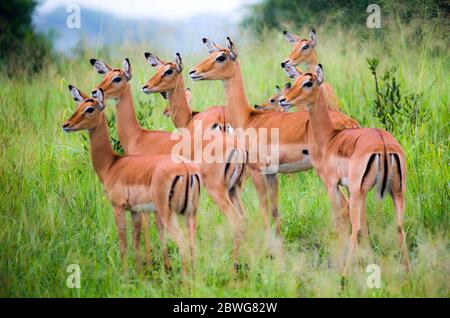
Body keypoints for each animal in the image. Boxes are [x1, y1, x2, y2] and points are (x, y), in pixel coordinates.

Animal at [62, 85, 200, 278]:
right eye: (78, 106)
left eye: (89, 109)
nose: (66, 125)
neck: (111, 164)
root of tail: (185, 169)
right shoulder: (134, 211)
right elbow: (136, 243)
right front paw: (140, 275)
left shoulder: (118, 208)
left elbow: (123, 244)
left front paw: (125, 276)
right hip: (190, 213)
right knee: (193, 246)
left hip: (167, 213)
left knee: (183, 245)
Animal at [89, 57, 248, 266]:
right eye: (105, 75)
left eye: (117, 78)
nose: (95, 91)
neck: (139, 137)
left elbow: (147, 226)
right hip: (233, 187)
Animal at [190, 37, 358, 240]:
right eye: (211, 54)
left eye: (221, 57)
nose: (193, 72)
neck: (248, 118)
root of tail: (350, 123)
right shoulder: (272, 173)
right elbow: (275, 209)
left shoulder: (258, 171)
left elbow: (263, 207)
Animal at [282, 65, 412, 278]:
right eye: (295, 81)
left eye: (308, 83)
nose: (284, 99)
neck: (330, 138)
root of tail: (384, 144)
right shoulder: (354, 190)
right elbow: (365, 224)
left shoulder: (332, 186)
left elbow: (340, 221)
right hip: (396, 191)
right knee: (399, 227)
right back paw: (408, 275)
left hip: (361, 192)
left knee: (355, 229)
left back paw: (343, 276)